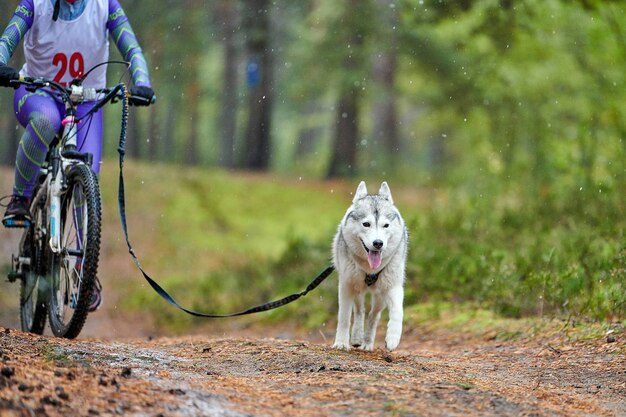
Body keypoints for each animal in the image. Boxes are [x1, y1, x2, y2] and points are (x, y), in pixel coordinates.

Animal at [330, 180, 408, 350]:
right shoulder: (346, 286)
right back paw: (357, 337)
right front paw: (341, 343)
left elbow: (398, 311)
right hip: (357, 289)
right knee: (360, 310)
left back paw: (367, 342)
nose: (378, 243)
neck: (370, 269)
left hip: (380, 296)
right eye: (366, 224)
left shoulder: (393, 286)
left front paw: (393, 338)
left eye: (386, 225)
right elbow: (344, 317)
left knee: (374, 315)